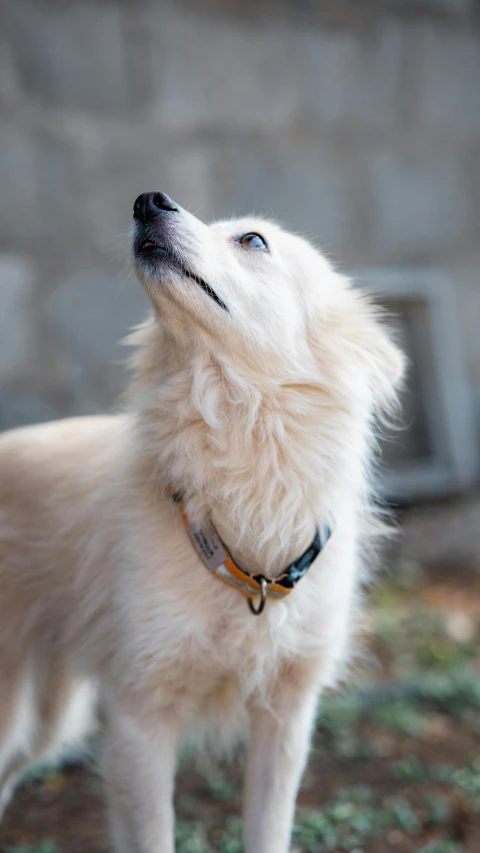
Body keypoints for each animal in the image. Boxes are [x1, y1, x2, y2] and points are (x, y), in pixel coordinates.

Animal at [0, 193, 404, 852]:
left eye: (253, 241)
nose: (147, 200)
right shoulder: (138, 718)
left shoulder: (286, 718)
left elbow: (268, 831)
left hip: (47, 723)